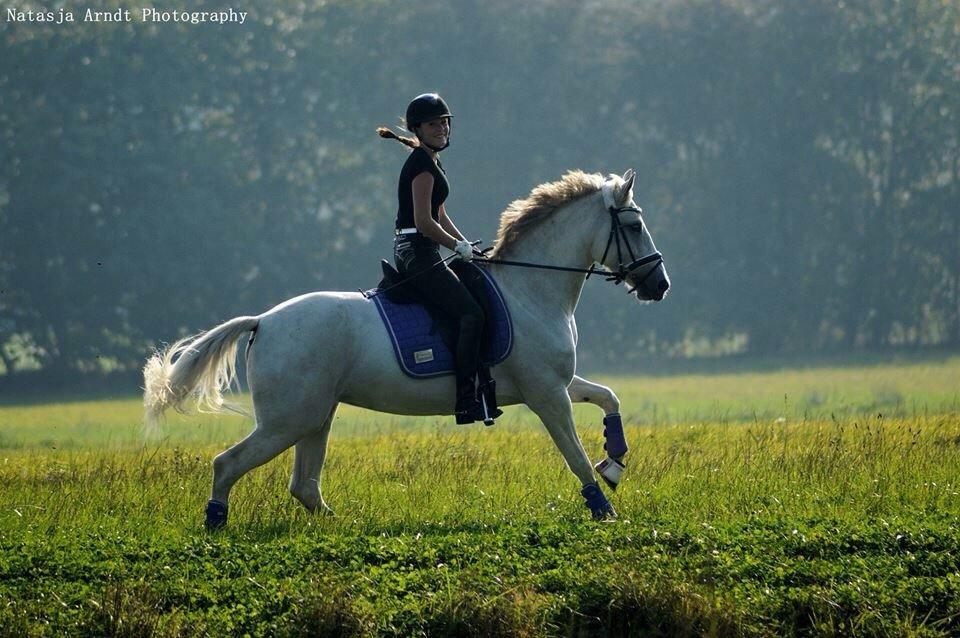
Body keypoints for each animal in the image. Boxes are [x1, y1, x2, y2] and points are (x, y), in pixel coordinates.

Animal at [144, 168, 668, 528]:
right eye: (634, 225)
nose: (659, 285)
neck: (529, 288)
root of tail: (263, 322)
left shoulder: (556, 383)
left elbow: (608, 398)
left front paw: (615, 464)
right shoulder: (547, 395)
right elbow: (573, 454)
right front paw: (603, 507)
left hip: (315, 417)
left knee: (304, 485)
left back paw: (339, 526)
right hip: (286, 421)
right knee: (228, 464)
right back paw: (215, 524)